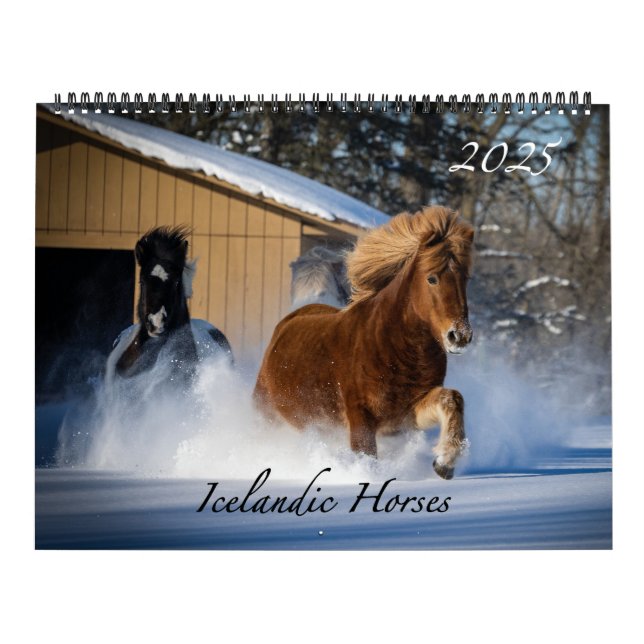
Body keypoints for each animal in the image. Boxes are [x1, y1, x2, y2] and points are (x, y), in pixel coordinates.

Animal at [254, 206, 474, 479]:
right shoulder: (361, 414)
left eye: (465, 279)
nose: (460, 336)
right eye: (432, 278)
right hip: (269, 416)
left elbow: (452, 398)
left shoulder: (405, 416)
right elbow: (366, 454)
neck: (397, 348)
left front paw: (445, 462)